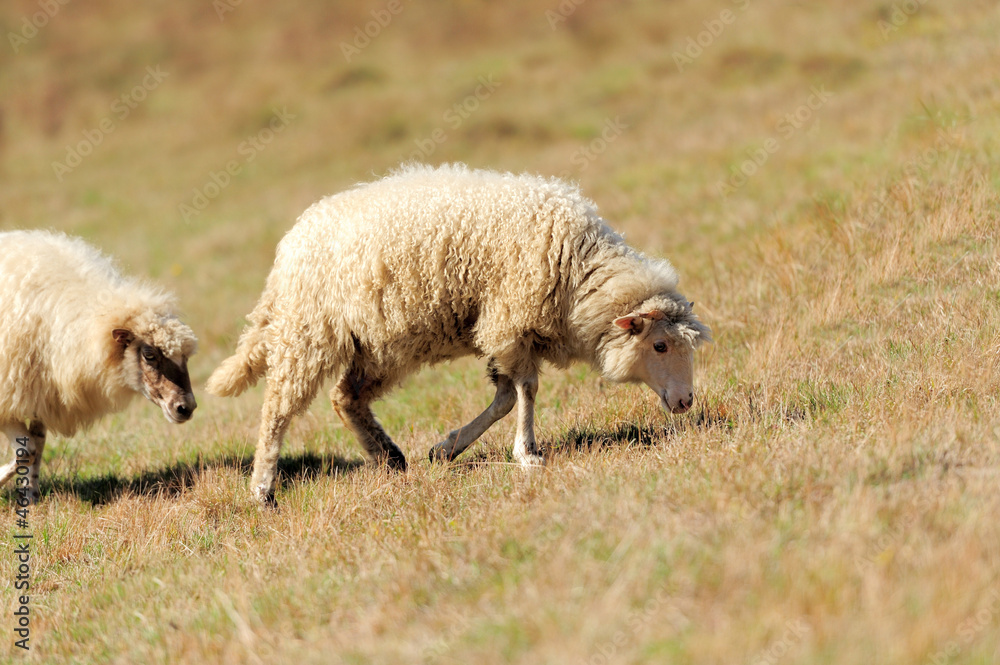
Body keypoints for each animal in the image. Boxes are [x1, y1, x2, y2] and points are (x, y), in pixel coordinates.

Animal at [0, 230, 199, 504]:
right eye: (148, 354)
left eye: (186, 357)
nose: (186, 408)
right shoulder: (9, 397)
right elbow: (26, 449)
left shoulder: (41, 396)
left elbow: (35, 447)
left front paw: (31, 496)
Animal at [205, 163, 712, 500]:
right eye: (659, 344)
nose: (686, 402)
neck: (579, 271)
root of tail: (290, 245)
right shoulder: (510, 318)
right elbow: (524, 393)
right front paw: (527, 454)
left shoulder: (511, 330)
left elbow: (505, 397)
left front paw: (447, 449)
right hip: (309, 332)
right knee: (277, 409)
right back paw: (262, 486)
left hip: (378, 346)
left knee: (345, 397)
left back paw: (389, 458)